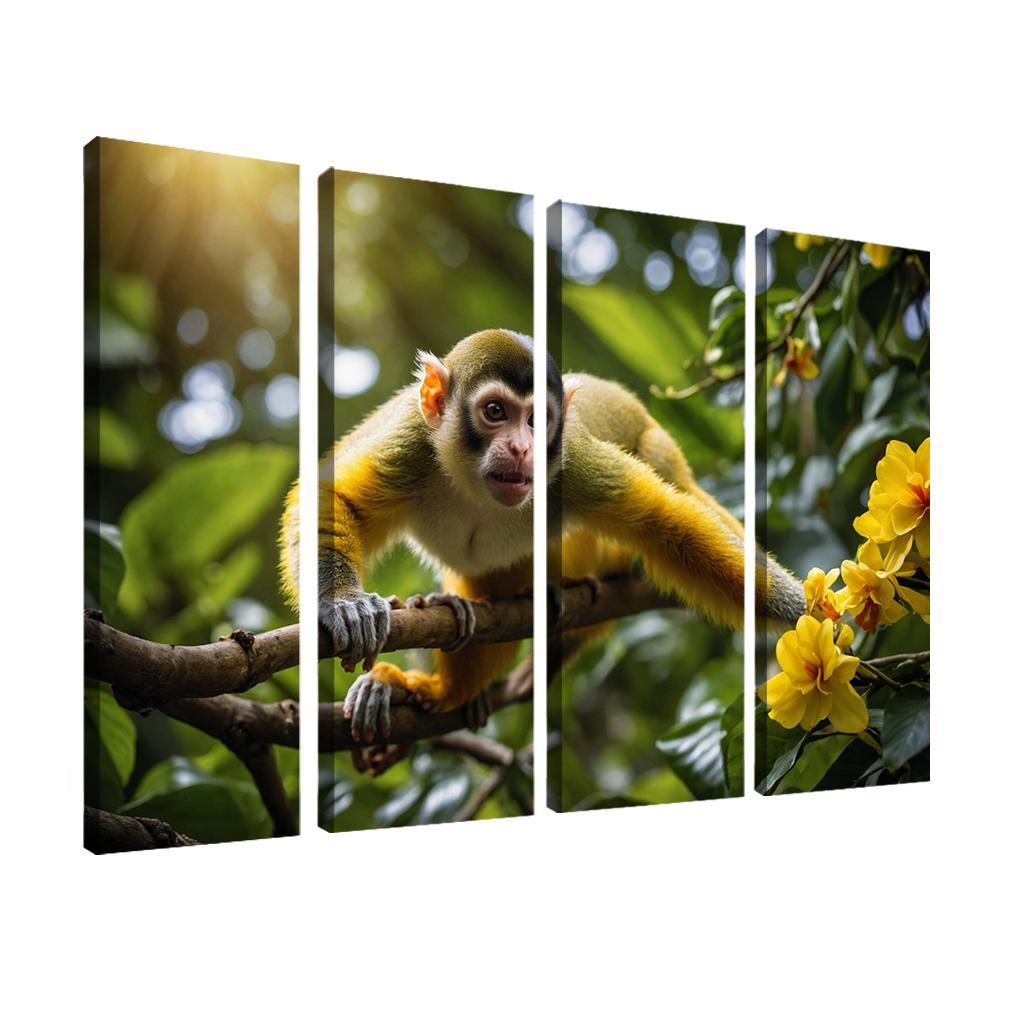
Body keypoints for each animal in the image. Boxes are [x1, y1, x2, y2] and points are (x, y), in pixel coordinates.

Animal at [279, 327, 804, 766]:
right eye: (496, 413)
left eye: (536, 421)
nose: (521, 448)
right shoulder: (413, 440)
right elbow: (332, 497)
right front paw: (344, 603)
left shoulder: (566, 460)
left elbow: (667, 525)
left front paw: (808, 612)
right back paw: (433, 681)